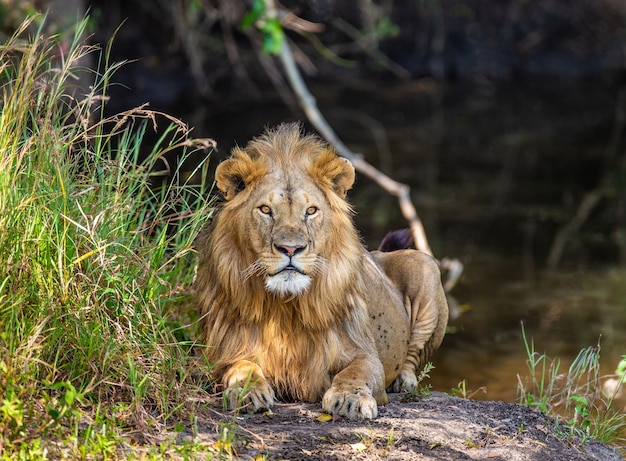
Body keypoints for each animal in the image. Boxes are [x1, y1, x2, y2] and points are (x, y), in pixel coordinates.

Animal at [193, 122, 446, 416]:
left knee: (412, 356)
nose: (291, 249)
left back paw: (403, 381)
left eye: (311, 211)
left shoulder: (363, 350)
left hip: (425, 267)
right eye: (265, 210)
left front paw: (350, 399)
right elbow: (240, 366)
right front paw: (247, 391)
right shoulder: (224, 351)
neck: (285, 308)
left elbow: (358, 371)